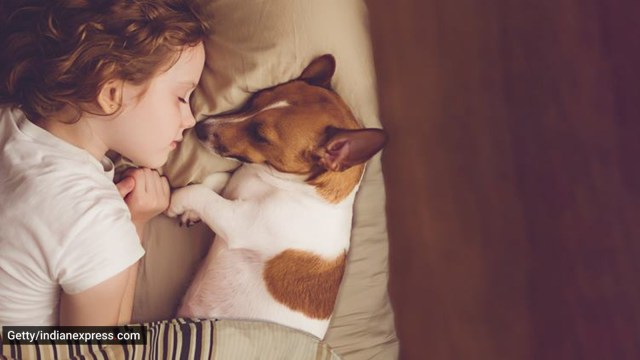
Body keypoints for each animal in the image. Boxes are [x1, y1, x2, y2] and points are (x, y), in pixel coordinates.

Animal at [166, 54, 384, 338]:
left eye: (261, 135)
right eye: (253, 101)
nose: (200, 127)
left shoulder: (238, 223)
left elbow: (202, 194)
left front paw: (175, 201)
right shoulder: (235, 190)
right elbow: (218, 181)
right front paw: (191, 212)